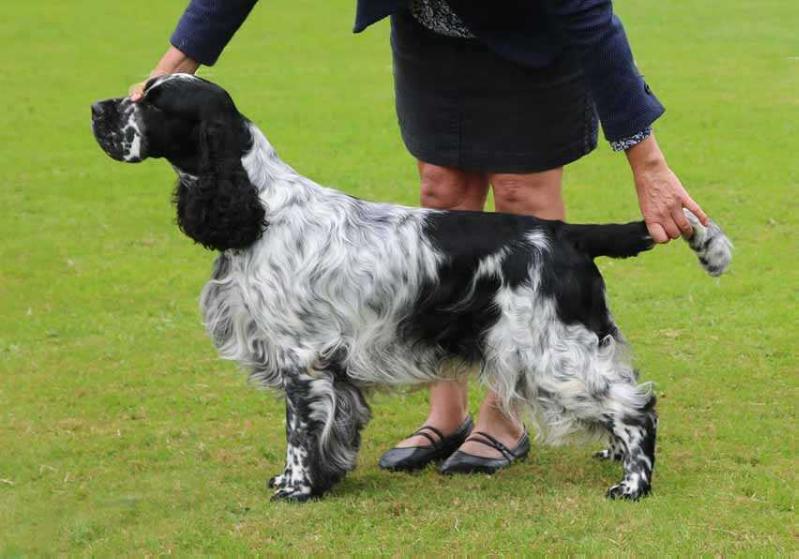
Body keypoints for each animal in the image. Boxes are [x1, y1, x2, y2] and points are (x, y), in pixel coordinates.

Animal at [90, 75, 736, 504]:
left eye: (153, 102)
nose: (97, 106)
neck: (259, 207)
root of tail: (564, 232)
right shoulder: (332, 367)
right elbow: (334, 427)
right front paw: (319, 479)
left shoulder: (301, 359)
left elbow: (299, 432)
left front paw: (295, 488)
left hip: (548, 353)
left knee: (636, 407)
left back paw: (632, 483)